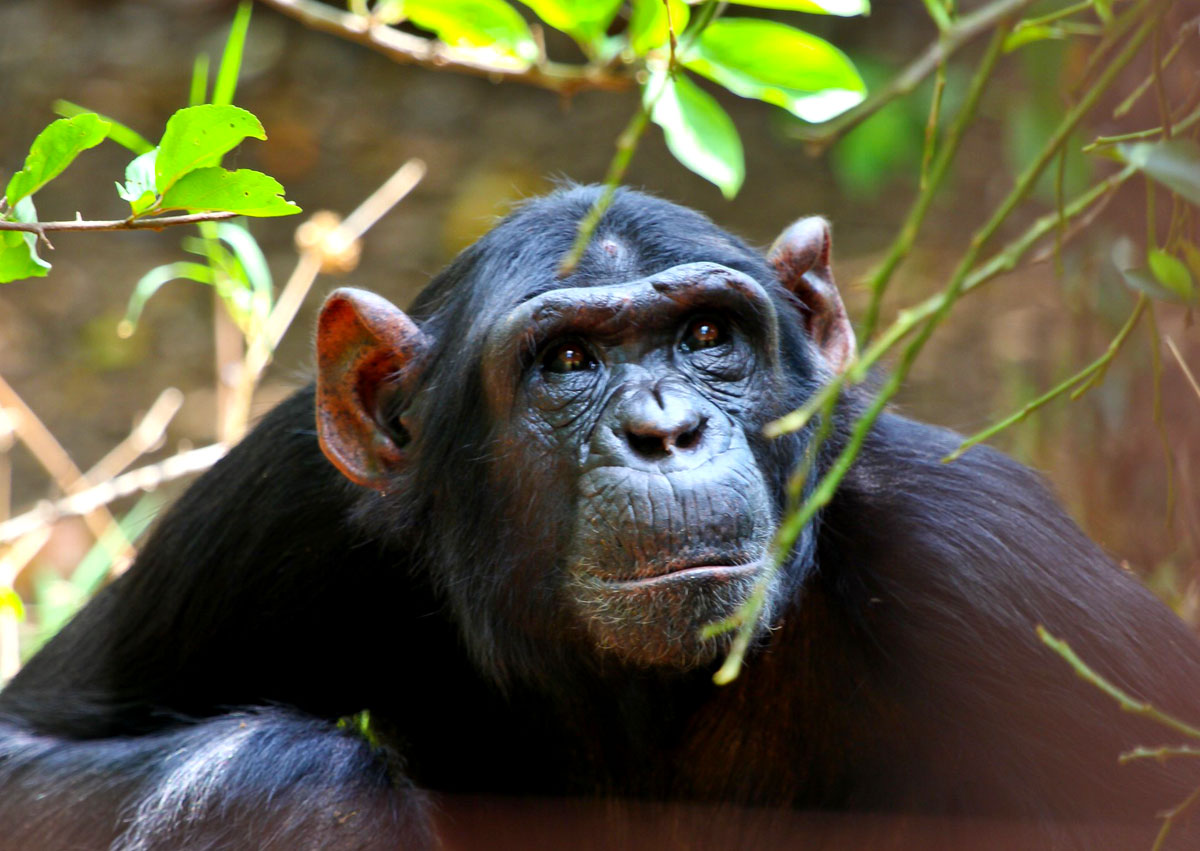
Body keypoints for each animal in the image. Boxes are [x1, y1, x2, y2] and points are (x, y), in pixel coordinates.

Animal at [2, 187, 1200, 849]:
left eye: (709, 335)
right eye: (570, 359)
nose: (664, 427)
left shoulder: (994, 556)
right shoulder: (285, 495)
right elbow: (37, 738)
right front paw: (305, 803)